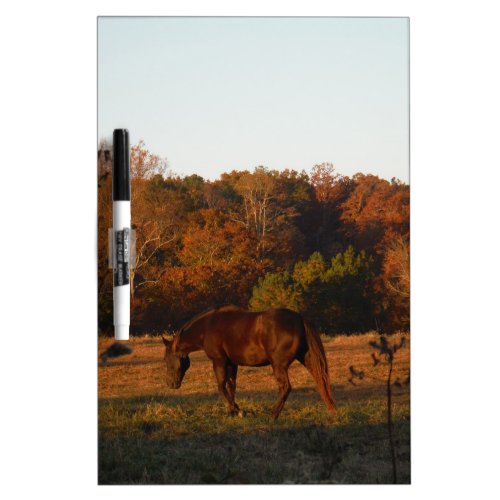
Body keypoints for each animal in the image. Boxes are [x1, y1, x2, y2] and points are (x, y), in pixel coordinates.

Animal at [162, 304, 338, 418]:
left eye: (166, 359)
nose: (171, 384)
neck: (207, 327)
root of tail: (300, 319)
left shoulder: (219, 361)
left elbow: (221, 387)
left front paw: (238, 411)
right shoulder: (232, 363)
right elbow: (231, 386)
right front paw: (232, 411)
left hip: (279, 365)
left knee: (285, 387)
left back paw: (273, 415)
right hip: (306, 359)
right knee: (321, 380)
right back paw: (331, 410)